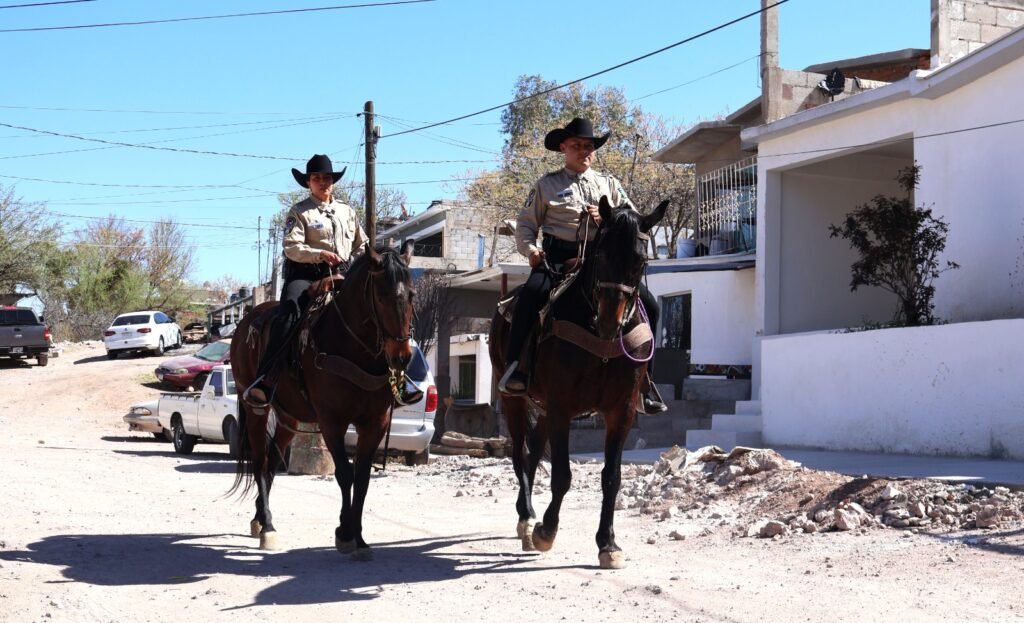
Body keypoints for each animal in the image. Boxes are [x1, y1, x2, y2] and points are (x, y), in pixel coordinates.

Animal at [229, 241, 416, 560]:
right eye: (382, 296)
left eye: (412, 295)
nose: (402, 357)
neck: (353, 348)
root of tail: (246, 323)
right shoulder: (332, 422)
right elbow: (344, 474)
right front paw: (345, 534)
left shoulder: (375, 424)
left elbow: (362, 479)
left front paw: (359, 538)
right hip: (256, 409)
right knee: (260, 460)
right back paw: (267, 527)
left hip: (289, 417)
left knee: (272, 459)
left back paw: (259, 518)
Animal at [489, 196, 668, 569]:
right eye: (601, 254)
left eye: (640, 261)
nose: (610, 321)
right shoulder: (562, 407)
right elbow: (562, 475)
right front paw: (546, 531)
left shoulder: (621, 412)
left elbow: (612, 477)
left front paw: (608, 544)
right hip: (515, 400)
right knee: (519, 451)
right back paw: (527, 518)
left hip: (542, 407)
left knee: (532, 450)